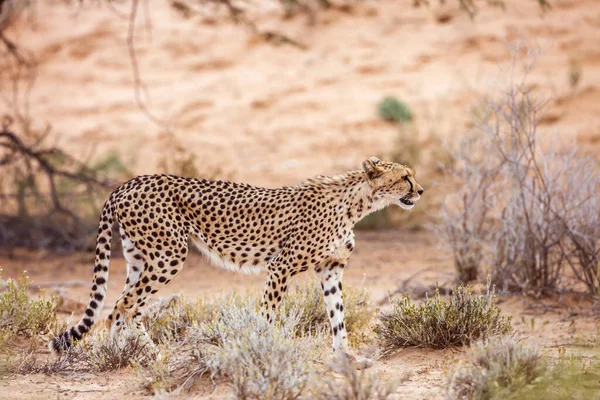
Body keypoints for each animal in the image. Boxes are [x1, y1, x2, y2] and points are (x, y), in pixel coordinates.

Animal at [49, 157, 424, 366]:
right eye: (405, 177)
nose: (420, 191)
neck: (357, 204)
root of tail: (128, 182)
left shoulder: (330, 268)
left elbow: (338, 318)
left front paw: (347, 358)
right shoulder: (280, 266)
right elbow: (269, 316)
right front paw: (263, 351)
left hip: (142, 258)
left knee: (125, 308)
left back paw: (138, 356)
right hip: (169, 255)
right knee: (121, 308)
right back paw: (133, 357)